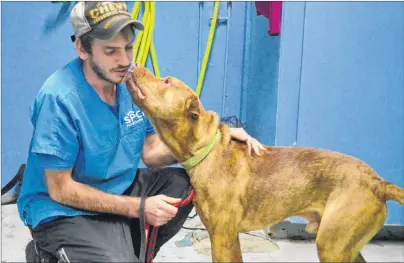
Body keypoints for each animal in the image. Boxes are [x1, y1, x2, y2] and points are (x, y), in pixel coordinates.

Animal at [124, 64, 402, 263]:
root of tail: (378, 182)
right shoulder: (229, 238)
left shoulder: (222, 237)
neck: (207, 151)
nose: (134, 63)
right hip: (344, 246)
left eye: (167, 81)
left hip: (332, 246)